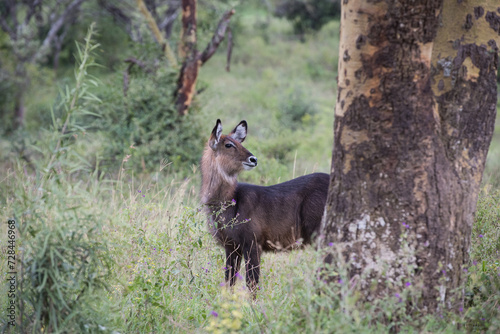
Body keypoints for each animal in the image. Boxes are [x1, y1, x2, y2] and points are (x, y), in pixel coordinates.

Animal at [201, 119, 330, 292]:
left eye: (239, 142)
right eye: (228, 144)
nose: (253, 159)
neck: (230, 201)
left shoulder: (253, 243)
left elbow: (252, 283)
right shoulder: (231, 246)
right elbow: (229, 281)